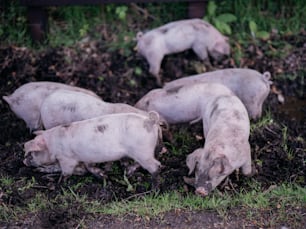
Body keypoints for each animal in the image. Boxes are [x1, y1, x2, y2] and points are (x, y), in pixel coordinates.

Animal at [23, 112, 163, 182]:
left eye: (33, 153)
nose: (23, 161)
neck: (53, 143)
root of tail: (150, 121)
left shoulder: (67, 158)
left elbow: (67, 172)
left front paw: (57, 182)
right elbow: (86, 169)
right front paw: (103, 175)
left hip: (142, 151)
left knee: (156, 166)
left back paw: (153, 189)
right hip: (147, 149)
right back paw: (127, 172)